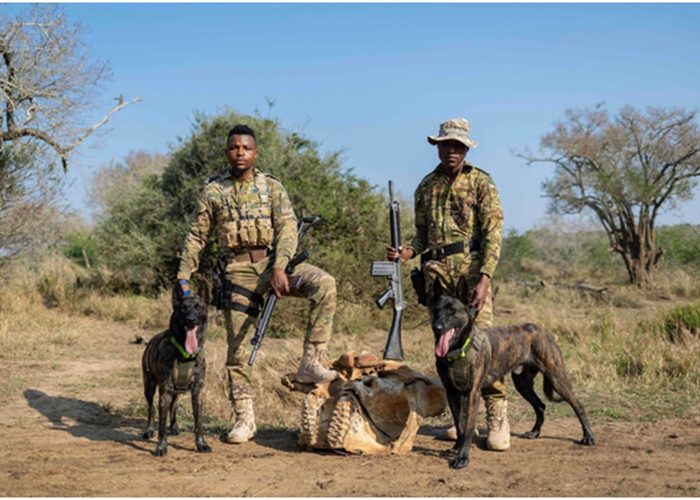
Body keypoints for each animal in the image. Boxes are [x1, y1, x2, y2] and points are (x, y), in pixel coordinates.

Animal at [140, 284, 211, 456]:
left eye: (198, 307)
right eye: (183, 308)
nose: (191, 319)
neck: (185, 354)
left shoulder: (197, 392)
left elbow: (198, 422)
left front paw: (201, 444)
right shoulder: (164, 391)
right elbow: (161, 424)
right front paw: (161, 446)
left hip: (177, 391)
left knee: (173, 406)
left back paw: (173, 427)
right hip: (149, 387)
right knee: (151, 409)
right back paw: (148, 430)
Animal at [434, 294, 592, 466]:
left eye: (453, 311)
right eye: (436, 310)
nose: (437, 327)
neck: (457, 349)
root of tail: (541, 330)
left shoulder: (473, 394)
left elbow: (468, 427)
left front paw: (462, 456)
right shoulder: (452, 393)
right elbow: (459, 425)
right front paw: (457, 447)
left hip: (556, 377)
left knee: (578, 404)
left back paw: (588, 436)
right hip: (522, 384)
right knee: (540, 405)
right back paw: (535, 432)